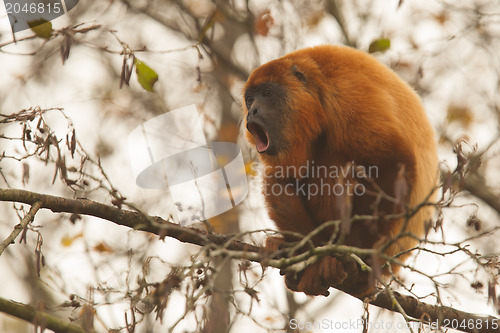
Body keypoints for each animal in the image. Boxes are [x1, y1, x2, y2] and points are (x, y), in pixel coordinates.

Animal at [242, 44, 438, 296]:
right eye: (249, 99)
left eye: (267, 93)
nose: (252, 112)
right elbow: (284, 177)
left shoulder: (349, 94)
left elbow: (393, 162)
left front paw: (354, 260)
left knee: (334, 162)